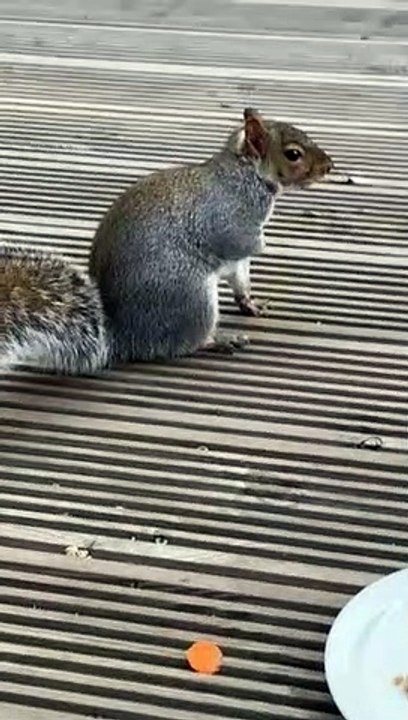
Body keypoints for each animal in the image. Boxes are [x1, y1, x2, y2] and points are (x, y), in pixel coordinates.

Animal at [0, 108, 332, 374]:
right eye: (293, 153)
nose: (329, 166)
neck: (246, 172)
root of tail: (125, 339)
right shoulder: (230, 218)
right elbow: (240, 242)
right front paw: (265, 243)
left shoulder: (238, 265)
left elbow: (241, 283)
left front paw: (251, 303)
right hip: (191, 298)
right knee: (184, 343)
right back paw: (219, 340)